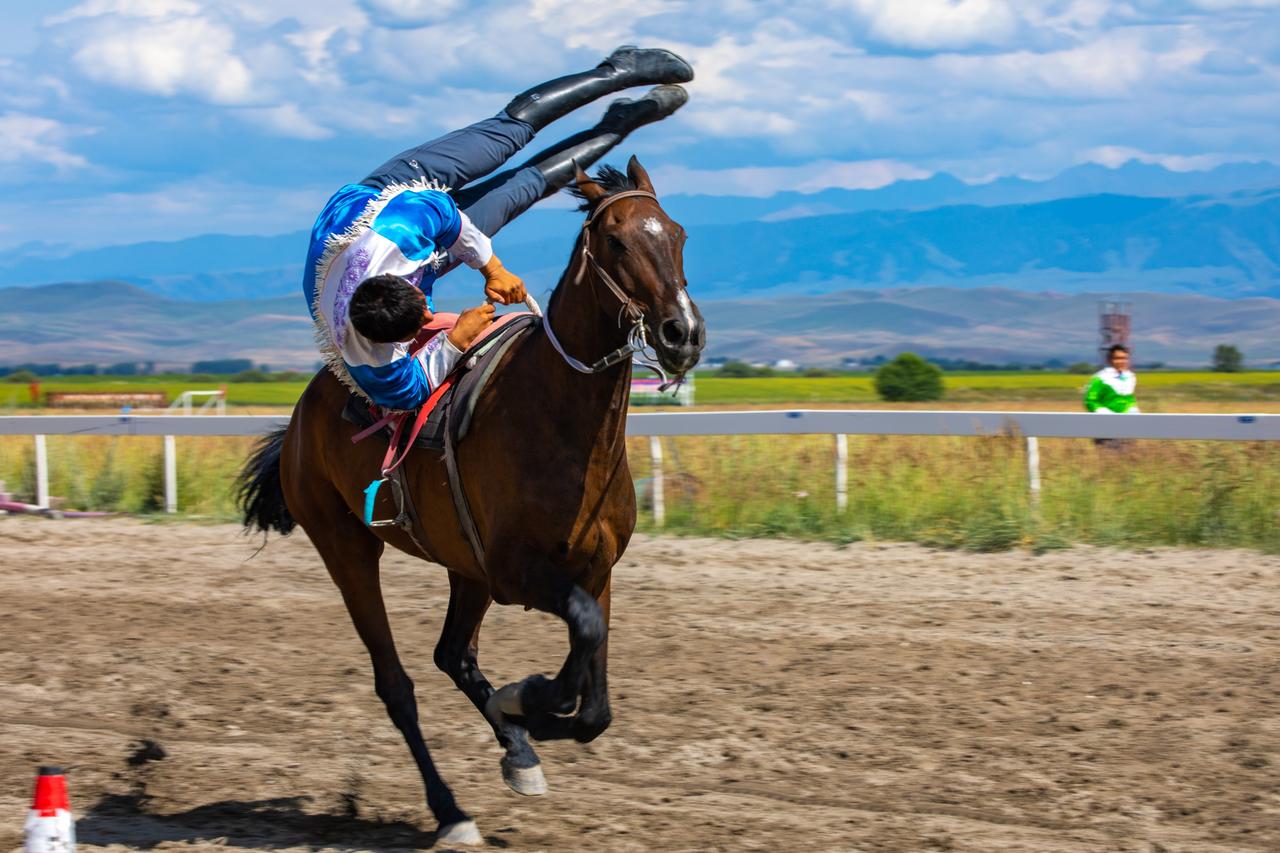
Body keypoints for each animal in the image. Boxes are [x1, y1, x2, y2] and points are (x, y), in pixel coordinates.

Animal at [236, 157, 704, 845]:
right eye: (617, 241)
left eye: (677, 234)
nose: (683, 333)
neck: (557, 417)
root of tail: (297, 424)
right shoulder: (517, 573)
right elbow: (578, 648)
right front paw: (527, 699)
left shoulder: (596, 570)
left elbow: (595, 699)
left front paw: (533, 719)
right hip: (347, 549)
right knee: (396, 683)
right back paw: (451, 811)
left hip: (464, 568)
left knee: (452, 655)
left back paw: (518, 751)